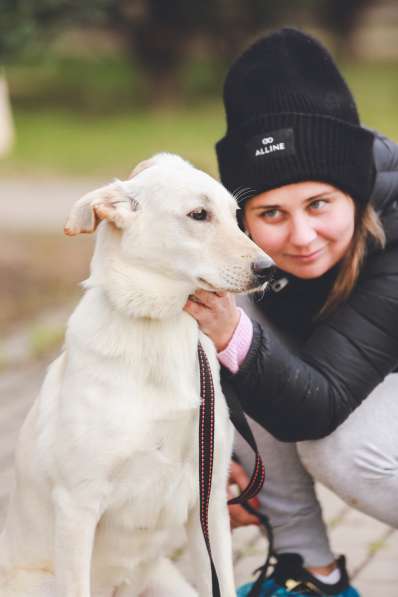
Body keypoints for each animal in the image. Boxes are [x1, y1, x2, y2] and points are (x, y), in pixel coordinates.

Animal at [0, 155, 272, 596]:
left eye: (235, 214)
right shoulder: (77, 506)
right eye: (199, 215)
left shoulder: (210, 500)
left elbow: (223, 583)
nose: (269, 268)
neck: (157, 328)